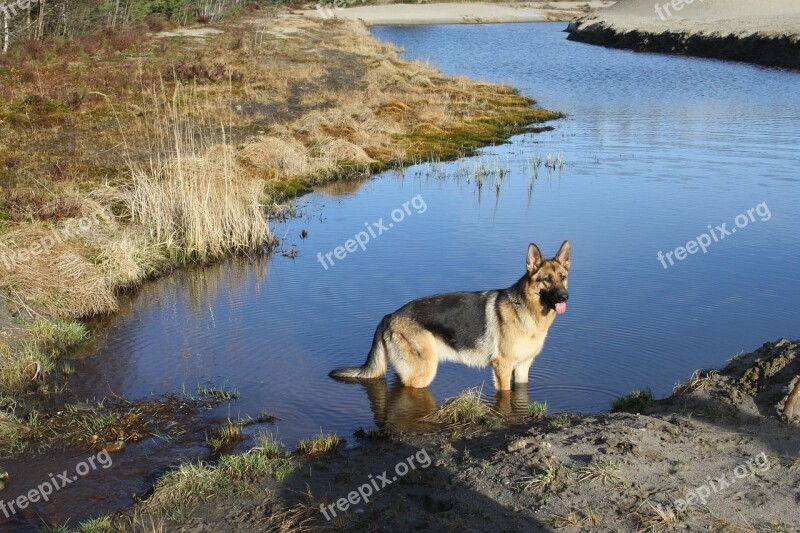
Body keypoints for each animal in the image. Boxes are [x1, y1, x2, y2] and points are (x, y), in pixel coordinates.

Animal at [330, 241, 568, 390]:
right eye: (547, 279)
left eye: (563, 277)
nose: (564, 296)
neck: (527, 311)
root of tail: (390, 315)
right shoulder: (502, 367)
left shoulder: (522, 369)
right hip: (423, 373)